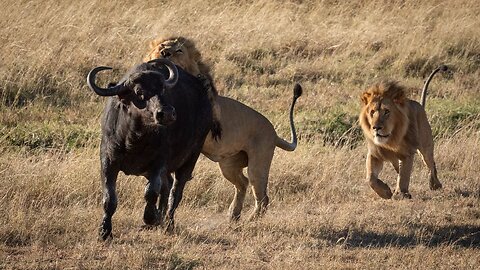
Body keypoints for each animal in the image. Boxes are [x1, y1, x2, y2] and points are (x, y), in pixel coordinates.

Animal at [86, 58, 214, 238]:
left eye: (162, 89)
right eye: (139, 92)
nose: (167, 113)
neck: (134, 139)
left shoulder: (159, 162)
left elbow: (151, 191)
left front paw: (150, 217)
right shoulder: (108, 160)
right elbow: (109, 198)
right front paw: (105, 231)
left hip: (191, 158)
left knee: (175, 193)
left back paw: (168, 224)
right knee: (167, 185)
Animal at [142, 37, 302, 220]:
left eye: (179, 51)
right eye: (162, 46)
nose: (164, 53)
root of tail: (274, 134)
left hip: (258, 163)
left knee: (262, 196)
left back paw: (250, 220)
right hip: (229, 164)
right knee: (243, 183)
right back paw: (233, 214)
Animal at [358, 66, 448, 200]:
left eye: (387, 111)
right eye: (372, 112)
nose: (376, 127)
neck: (390, 139)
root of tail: (419, 105)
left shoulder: (407, 152)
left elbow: (404, 175)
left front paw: (400, 193)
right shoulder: (375, 153)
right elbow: (370, 178)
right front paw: (385, 192)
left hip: (425, 145)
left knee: (430, 163)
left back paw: (435, 184)